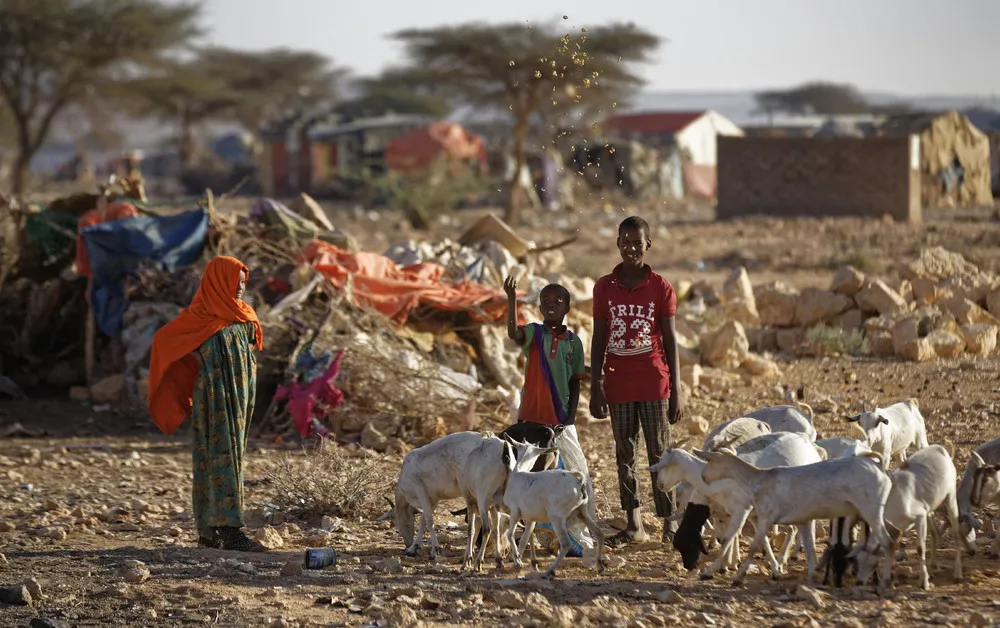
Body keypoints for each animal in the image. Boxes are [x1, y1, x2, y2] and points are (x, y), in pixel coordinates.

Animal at [692, 452, 896, 588]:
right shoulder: (803, 522)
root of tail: (880, 467)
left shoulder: (766, 517)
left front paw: (735, 578)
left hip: (872, 510)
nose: (703, 476)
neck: (760, 479)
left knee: (888, 542)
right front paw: (813, 577)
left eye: (709, 460)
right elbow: (810, 550)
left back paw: (885, 580)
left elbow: (753, 547)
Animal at [856, 442, 964, 588]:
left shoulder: (920, 517)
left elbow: (920, 548)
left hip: (950, 499)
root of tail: (941, 449)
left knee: (956, 535)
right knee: (935, 533)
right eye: (856, 561)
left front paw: (924, 582)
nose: (859, 582)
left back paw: (958, 575)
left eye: (873, 563)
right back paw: (932, 568)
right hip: (929, 510)